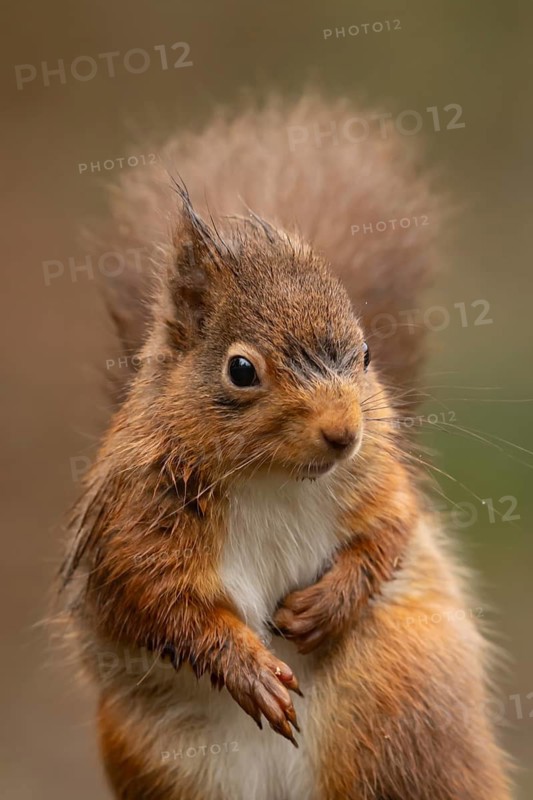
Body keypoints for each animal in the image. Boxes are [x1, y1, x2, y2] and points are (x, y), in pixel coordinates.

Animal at [60, 95, 511, 800]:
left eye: (367, 355)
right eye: (241, 370)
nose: (344, 434)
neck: (272, 477)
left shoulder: (377, 482)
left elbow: (389, 534)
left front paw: (325, 606)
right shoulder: (132, 518)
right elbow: (158, 603)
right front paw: (245, 668)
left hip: (404, 712)